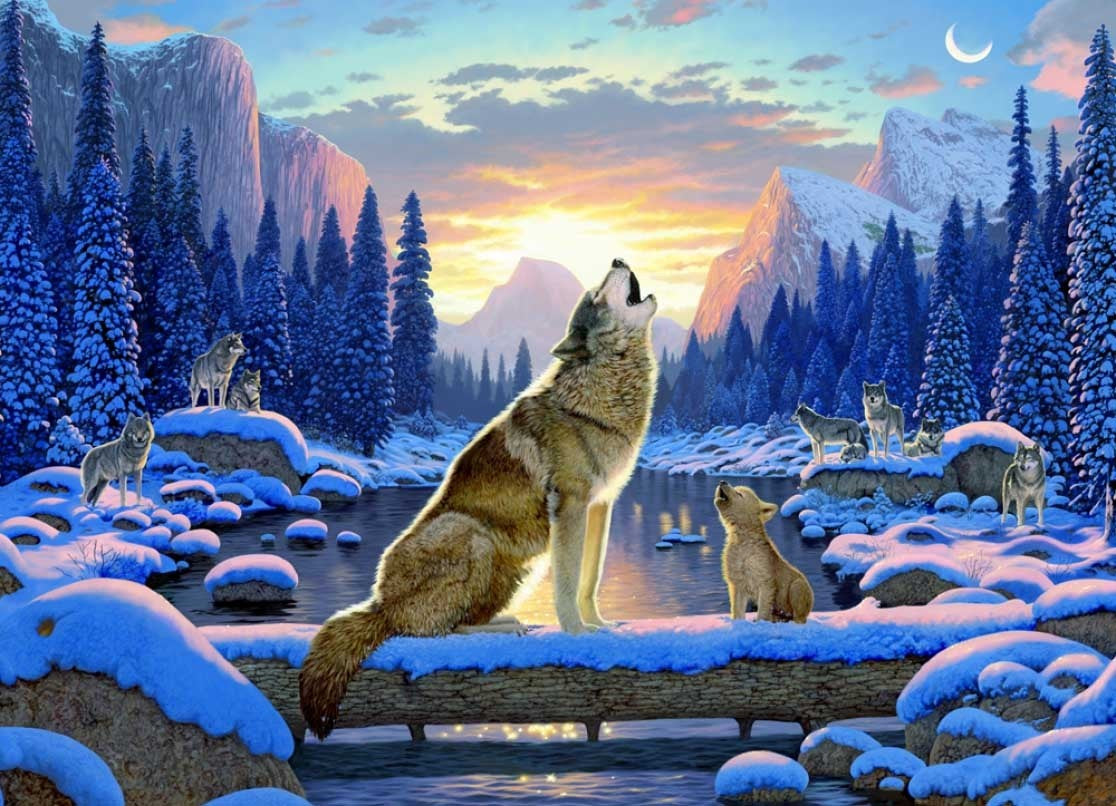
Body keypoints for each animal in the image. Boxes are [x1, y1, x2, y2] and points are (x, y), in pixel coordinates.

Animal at [298, 258, 658, 739]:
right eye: (596, 293)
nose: (618, 260)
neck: (598, 396)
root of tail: (380, 604)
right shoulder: (570, 505)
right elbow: (567, 584)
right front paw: (578, 635)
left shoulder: (601, 506)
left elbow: (590, 578)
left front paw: (600, 626)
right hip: (472, 535)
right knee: (429, 632)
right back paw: (498, 631)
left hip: (518, 570)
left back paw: (504, 625)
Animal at [715, 481, 813, 623]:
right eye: (737, 489)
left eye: (739, 493)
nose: (722, 482)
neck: (743, 537)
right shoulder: (736, 572)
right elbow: (737, 602)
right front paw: (738, 621)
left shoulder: (765, 571)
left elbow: (765, 600)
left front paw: (760, 621)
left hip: (800, 586)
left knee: (798, 597)